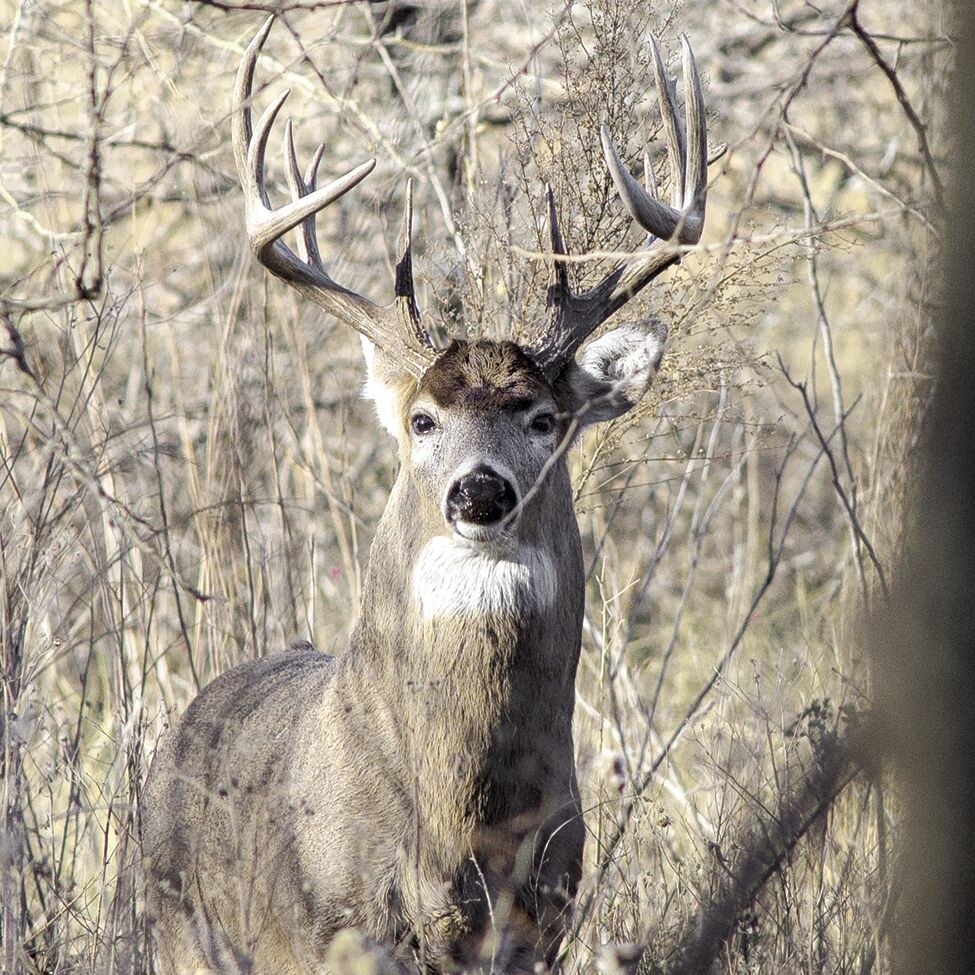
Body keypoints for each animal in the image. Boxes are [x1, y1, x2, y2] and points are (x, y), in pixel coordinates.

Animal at [142, 15, 708, 975]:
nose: (479, 491)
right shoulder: (341, 924)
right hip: (181, 928)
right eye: (421, 419)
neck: (462, 825)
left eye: (543, 416)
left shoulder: (544, 920)